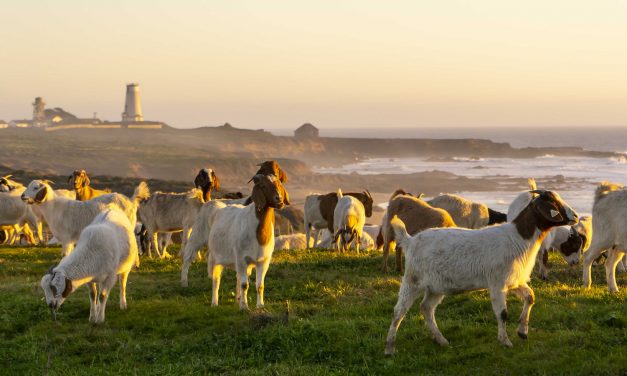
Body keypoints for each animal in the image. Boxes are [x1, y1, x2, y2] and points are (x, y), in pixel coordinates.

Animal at [21, 180, 150, 258]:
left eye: (35, 187)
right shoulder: (69, 240)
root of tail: (131, 200)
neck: (53, 207)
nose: (22, 196)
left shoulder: (66, 238)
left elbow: (65, 255)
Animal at [180, 174, 288, 312]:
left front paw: (260, 306)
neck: (258, 233)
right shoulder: (241, 258)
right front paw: (244, 306)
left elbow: (260, 285)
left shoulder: (263, 261)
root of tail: (210, 202)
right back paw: (196, 291)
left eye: (279, 184)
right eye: (263, 186)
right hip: (200, 238)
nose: (279, 199)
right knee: (197, 264)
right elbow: (244, 284)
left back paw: (235, 299)